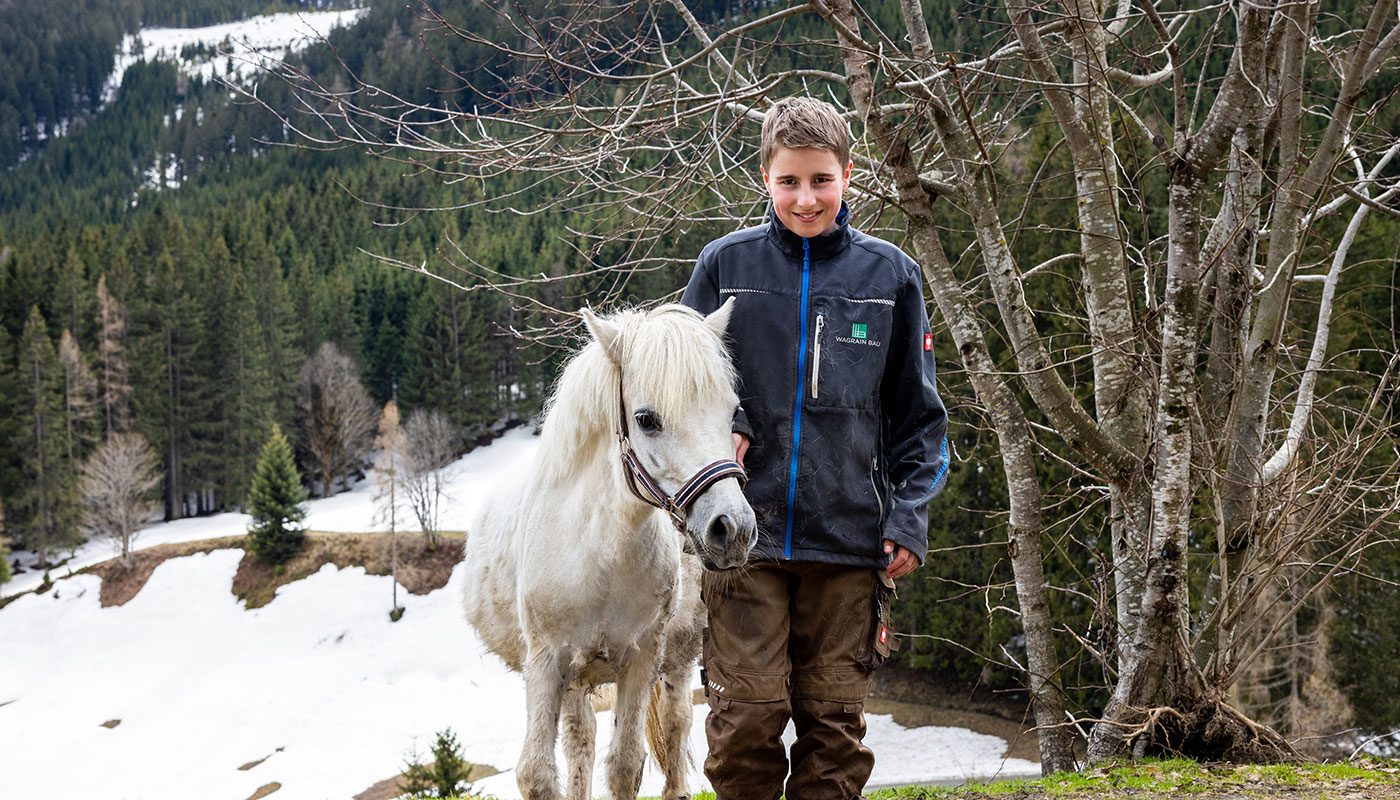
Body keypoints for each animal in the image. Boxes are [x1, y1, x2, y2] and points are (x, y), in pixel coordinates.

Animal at [464, 299, 756, 800]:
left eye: (731, 411)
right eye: (647, 419)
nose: (732, 529)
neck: (597, 557)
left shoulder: (641, 660)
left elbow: (625, 764)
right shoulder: (547, 664)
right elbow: (537, 774)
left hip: (676, 661)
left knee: (675, 726)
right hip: (574, 680)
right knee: (579, 741)